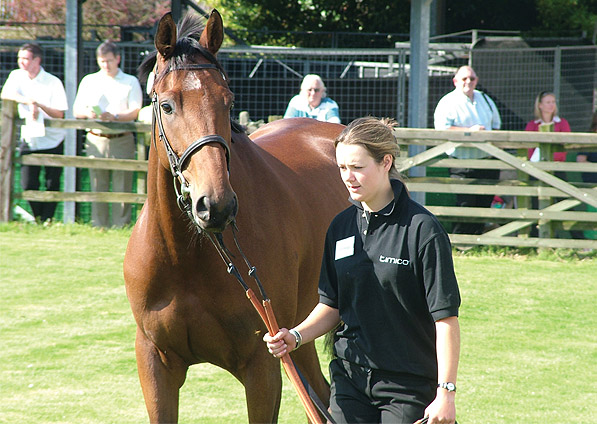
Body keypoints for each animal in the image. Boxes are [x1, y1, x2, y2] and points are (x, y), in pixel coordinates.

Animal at [124, 9, 350, 424]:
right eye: (166, 105)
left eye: (228, 102)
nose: (216, 205)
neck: (185, 258)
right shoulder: (155, 364)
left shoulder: (263, 365)